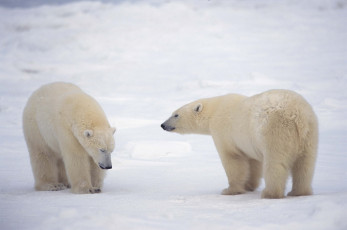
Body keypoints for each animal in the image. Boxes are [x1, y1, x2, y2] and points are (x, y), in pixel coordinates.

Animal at [162, 89, 320, 199]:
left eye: (175, 114)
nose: (163, 125)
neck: (214, 110)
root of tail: (297, 116)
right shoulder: (250, 141)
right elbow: (253, 162)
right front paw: (249, 185)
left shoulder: (224, 132)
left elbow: (233, 161)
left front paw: (230, 190)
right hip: (310, 134)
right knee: (305, 165)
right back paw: (299, 192)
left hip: (276, 132)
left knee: (275, 164)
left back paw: (270, 193)